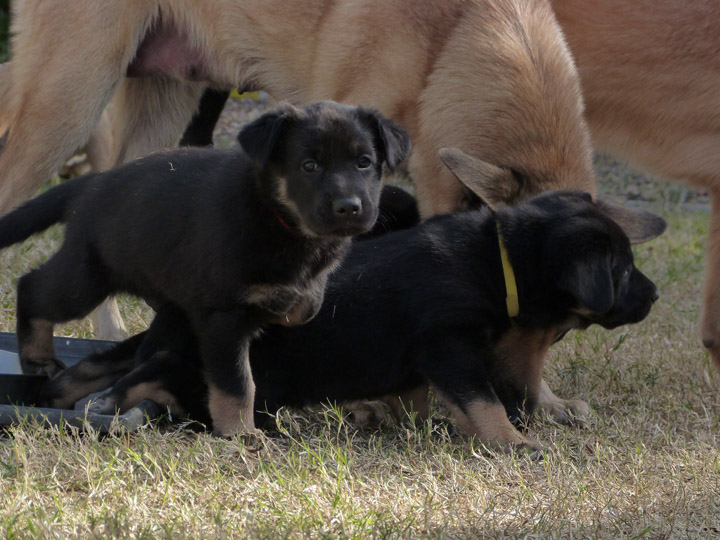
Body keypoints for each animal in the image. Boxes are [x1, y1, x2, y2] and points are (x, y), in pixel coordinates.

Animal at [0, 101, 410, 436]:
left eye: (364, 162)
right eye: (309, 166)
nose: (349, 207)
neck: (276, 215)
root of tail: (93, 181)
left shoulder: (292, 301)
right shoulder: (222, 316)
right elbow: (237, 382)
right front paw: (240, 433)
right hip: (87, 275)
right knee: (33, 287)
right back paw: (38, 359)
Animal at [47, 181, 664, 452]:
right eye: (624, 270)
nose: (655, 295)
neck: (500, 258)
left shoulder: (426, 360)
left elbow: (422, 398)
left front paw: (425, 426)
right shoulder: (449, 344)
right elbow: (484, 400)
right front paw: (512, 441)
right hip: (212, 360)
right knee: (157, 382)